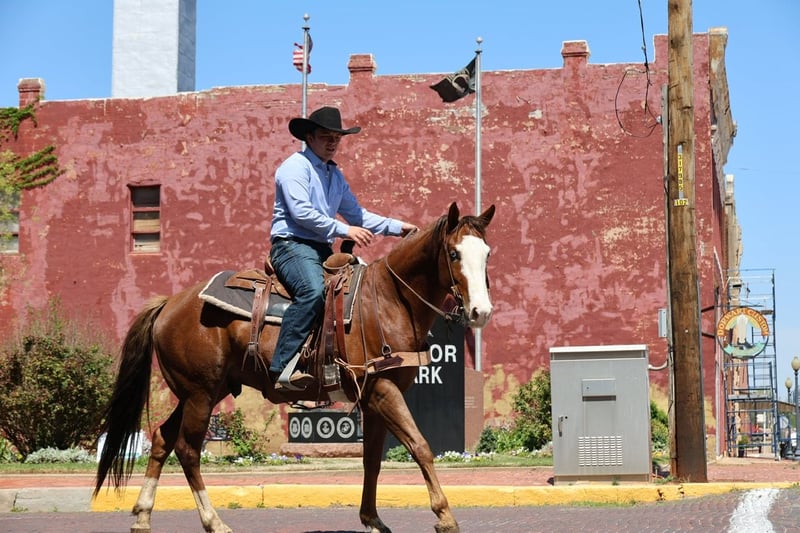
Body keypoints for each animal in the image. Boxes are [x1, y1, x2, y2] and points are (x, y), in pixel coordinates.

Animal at [94, 202, 495, 533]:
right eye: (454, 253)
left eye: (487, 254)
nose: (481, 312)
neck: (389, 300)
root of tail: (169, 303)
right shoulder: (382, 391)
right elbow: (420, 445)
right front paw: (445, 516)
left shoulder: (372, 398)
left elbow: (372, 460)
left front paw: (372, 519)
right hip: (200, 394)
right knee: (188, 449)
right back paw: (214, 521)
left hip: (204, 391)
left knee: (163, 438)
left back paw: (143, 515)